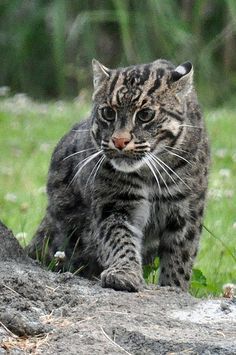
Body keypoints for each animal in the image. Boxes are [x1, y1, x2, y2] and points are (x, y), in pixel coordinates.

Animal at [26, 58, 209, 292]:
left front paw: (174, 287)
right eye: (107, 113)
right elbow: (119, 239)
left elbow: (180, 258)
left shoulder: (186, 212)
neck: (149, 172)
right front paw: (124, 273)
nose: (119, 141)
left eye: (145, 115)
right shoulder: (114, 204)